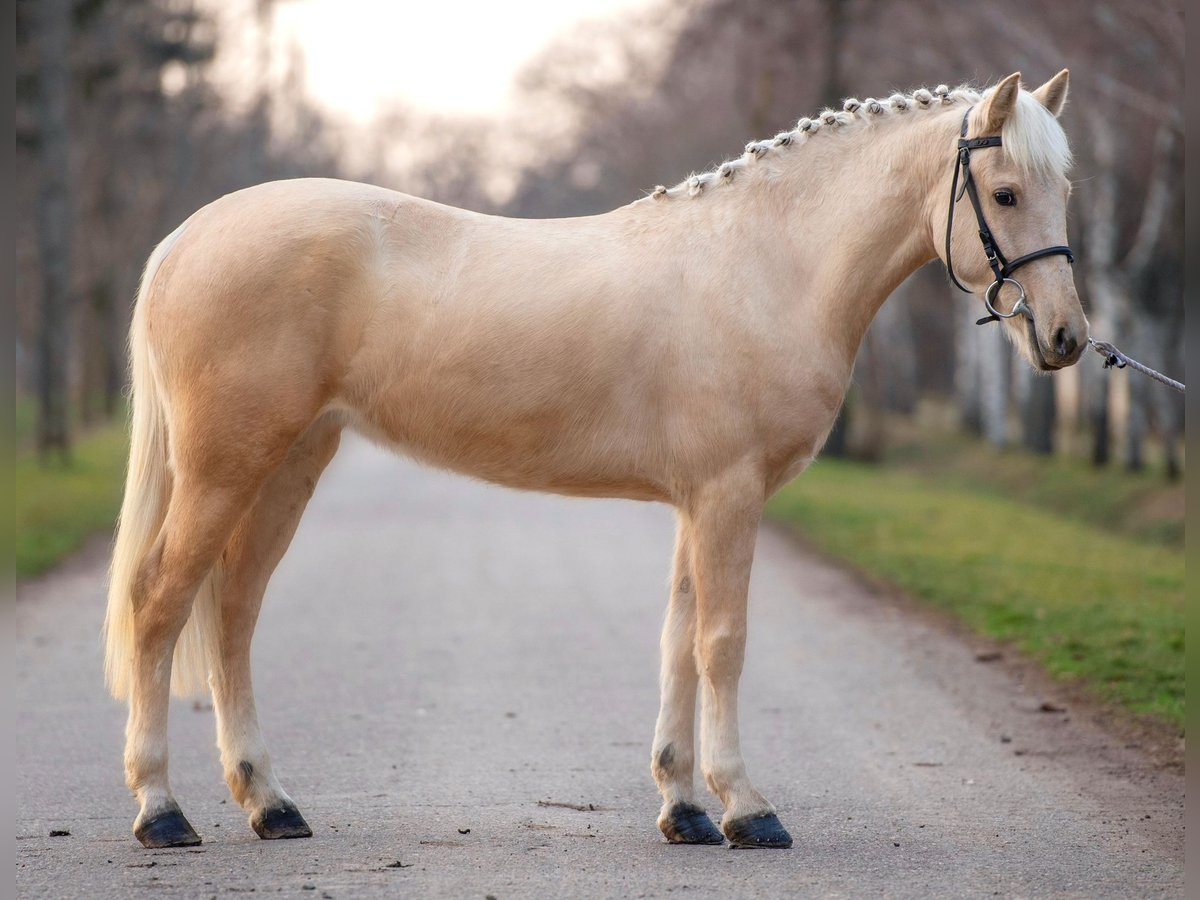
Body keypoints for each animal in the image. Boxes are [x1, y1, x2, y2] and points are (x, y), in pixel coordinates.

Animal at [103, 70, 1084, 854]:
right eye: (1004, 193)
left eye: (1064, 186)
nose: (1067, 337)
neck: (765, 262)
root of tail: (185, 239)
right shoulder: (729, 495)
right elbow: (722, 643)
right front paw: (748, 810)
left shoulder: (699, 501)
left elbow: (679, 640)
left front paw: (685, 809)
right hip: (227, 468)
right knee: (160, 604)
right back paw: (162, 812)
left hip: (289, 464)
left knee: (233, 611)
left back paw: (270, 804)